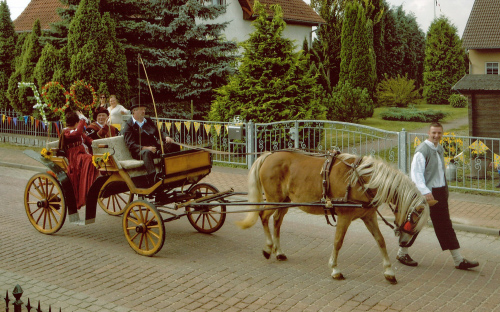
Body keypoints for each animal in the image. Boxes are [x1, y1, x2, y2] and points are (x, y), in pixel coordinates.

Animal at [236, 150, 432, 284]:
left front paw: (389, 272)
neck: (362, 180)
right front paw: (335, 269)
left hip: (284, 201)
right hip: (273, 199)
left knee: (277, 222)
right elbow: (338, 242)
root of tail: (269, 155)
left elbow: (380, 241)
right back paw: (268, 248)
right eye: (414, 219)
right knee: (263, 216)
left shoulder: (368, 217)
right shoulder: (345, 217)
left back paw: (279, 252)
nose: (404, 243)